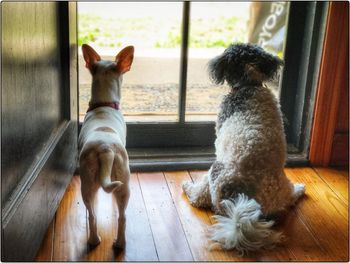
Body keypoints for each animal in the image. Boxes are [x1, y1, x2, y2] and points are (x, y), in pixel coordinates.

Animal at [79, 44, 134, 251]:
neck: (104, 104)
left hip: (88, 184)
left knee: (93, 215)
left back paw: (96, 241)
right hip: (122, 182)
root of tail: (105, 149)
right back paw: (115, 243)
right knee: (120, 216)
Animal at [182, 43, 304, 256]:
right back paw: (299, 190)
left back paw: (188, 187)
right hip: (281, 185)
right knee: (289, 197)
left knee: (200, 197)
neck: (250, 84)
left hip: (216, 172)